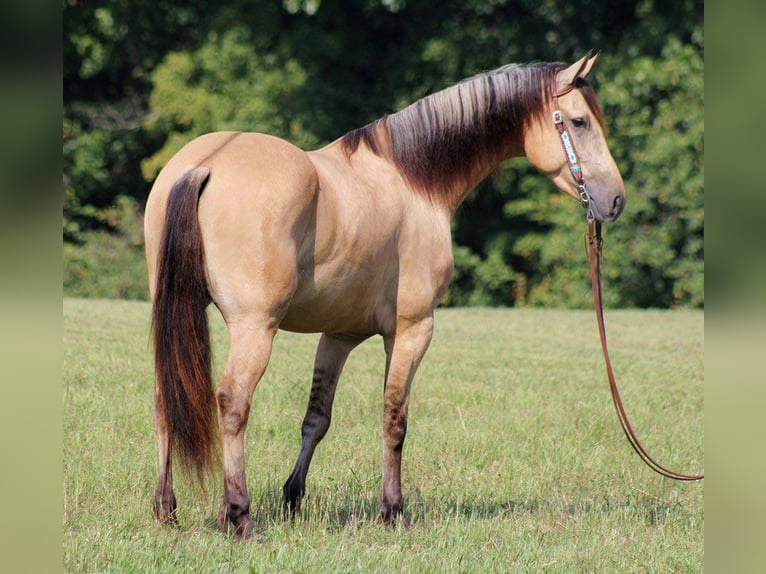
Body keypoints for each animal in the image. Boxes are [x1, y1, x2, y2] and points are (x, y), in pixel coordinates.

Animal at [147, 50, 628, 540]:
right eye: (579, 121)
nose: (615, 201)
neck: (415, 181)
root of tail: (204, 165)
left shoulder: (338, 336)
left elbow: (316, 418)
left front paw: (293, 496)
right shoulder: (412, 331)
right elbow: (395, 418)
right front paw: (392, 509)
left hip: (173, 315)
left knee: (167, 397)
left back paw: (167, 508)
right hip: (255, 328)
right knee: (233, 403)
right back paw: (240, 515)